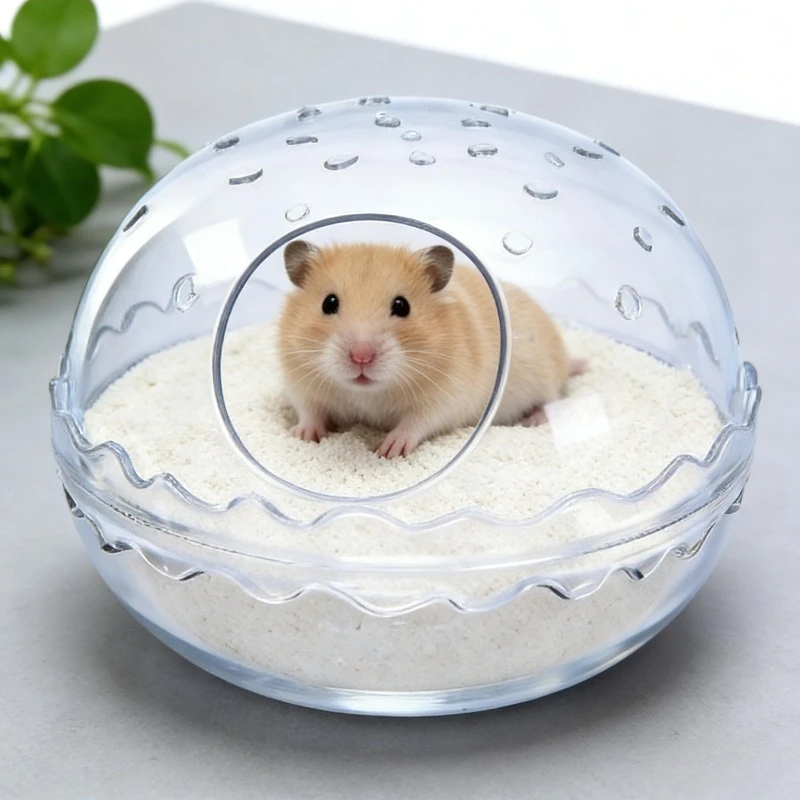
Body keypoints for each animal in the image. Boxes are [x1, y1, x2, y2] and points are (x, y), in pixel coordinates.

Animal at [277, 241, 586, 458]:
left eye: (402, 306)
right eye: (329, 303)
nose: (361, 357)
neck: (367, 394)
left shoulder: (446, 398)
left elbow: (416, 423)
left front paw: (388, 449)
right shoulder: (299, 385)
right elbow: (310, 411)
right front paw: (301, 434)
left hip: (543, 375)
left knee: (552, 398)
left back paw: (535, 419)